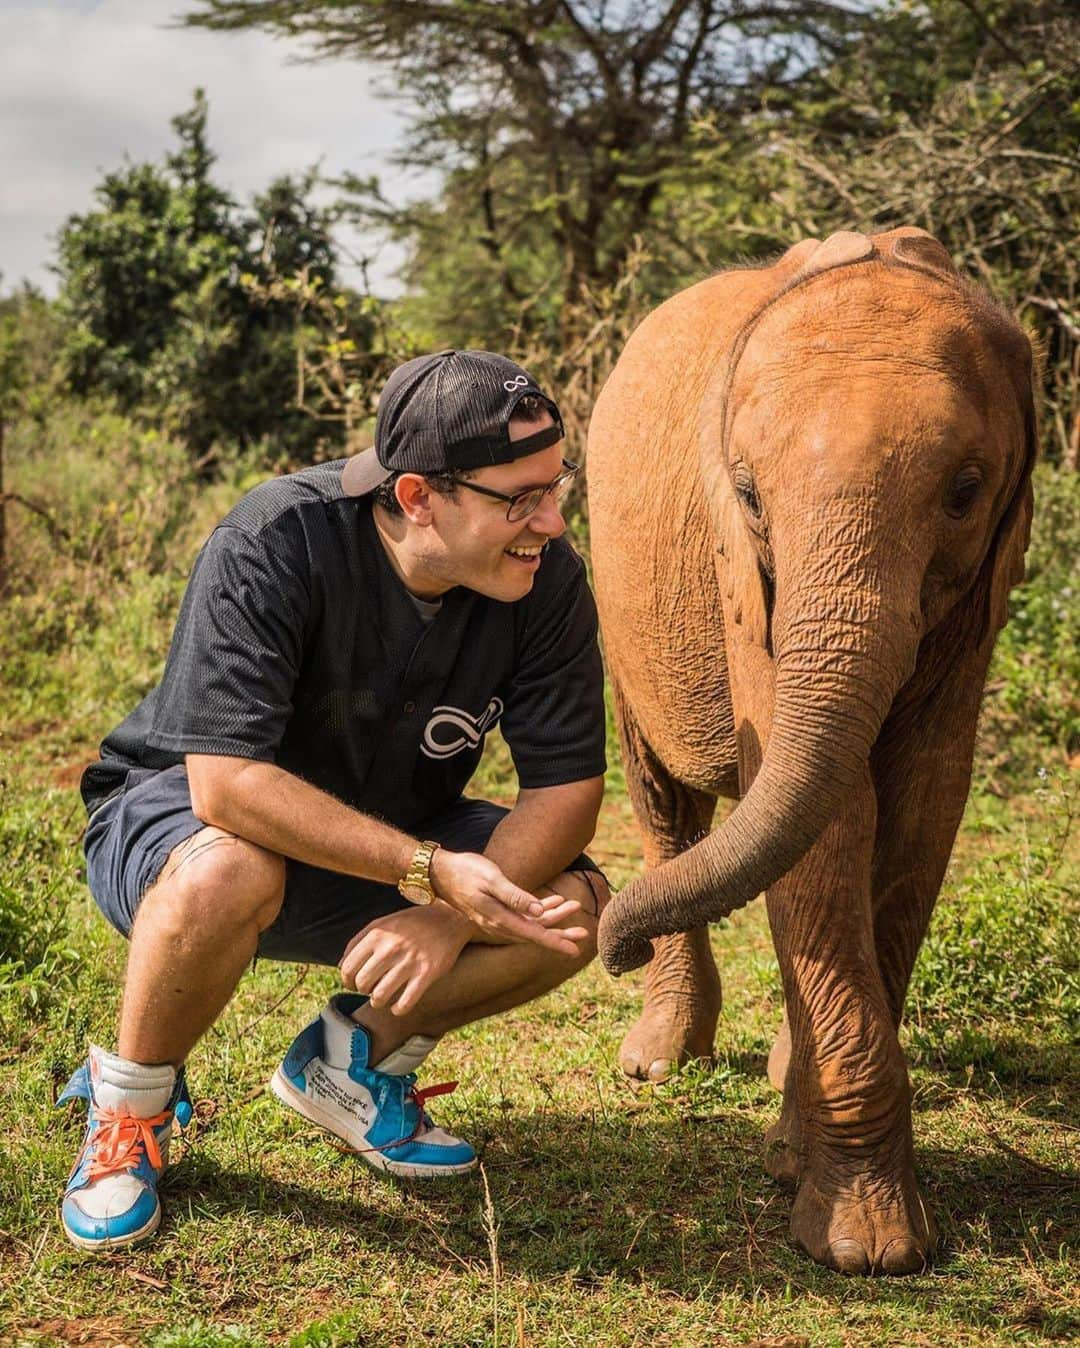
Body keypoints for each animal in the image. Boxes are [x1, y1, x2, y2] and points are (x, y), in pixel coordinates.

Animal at [590, 226, 1035, 1267]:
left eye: (966, 493)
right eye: (750, 493)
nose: (610, 945)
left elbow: (921, 804)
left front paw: (834, 1202)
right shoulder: (739, 574)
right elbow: (836, 821)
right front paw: (862, 1246)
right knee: (662, 797)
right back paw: (658, 1063)